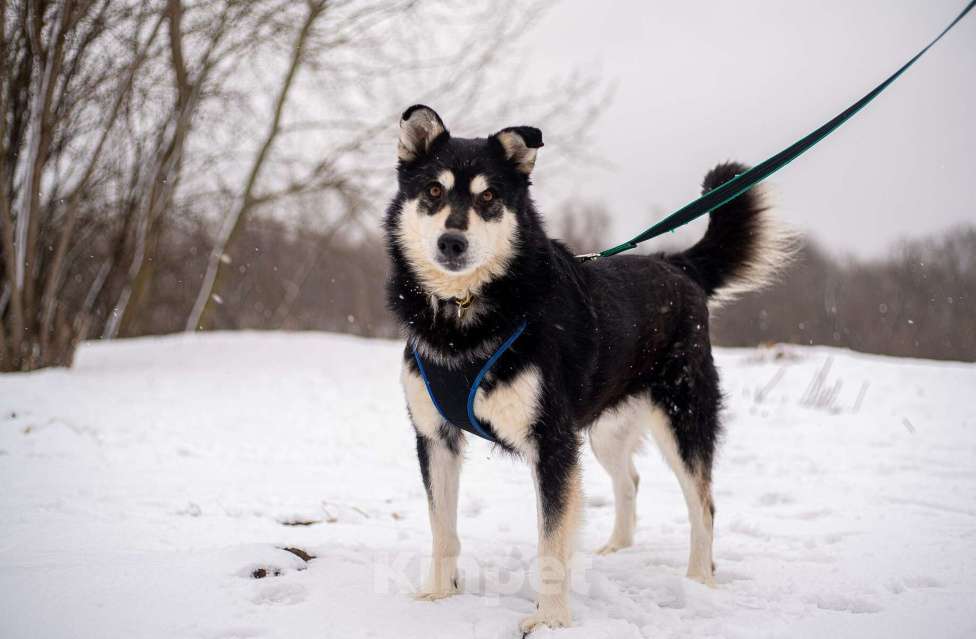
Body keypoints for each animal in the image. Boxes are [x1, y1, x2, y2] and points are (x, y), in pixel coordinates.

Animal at [382, 106, 792, 636]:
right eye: (433, 190)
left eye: (489, 197)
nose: (452, 242)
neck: (464, 316)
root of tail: (676, 267)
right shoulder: (435, 437)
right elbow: (442, 529)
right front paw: (438, 594)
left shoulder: (552, 442)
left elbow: (551, 542)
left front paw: (551, 619)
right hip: (605, 433)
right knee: (630, 479)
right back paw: (617, 548)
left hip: (682, 418)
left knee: (703, 503)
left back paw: (701, 580)